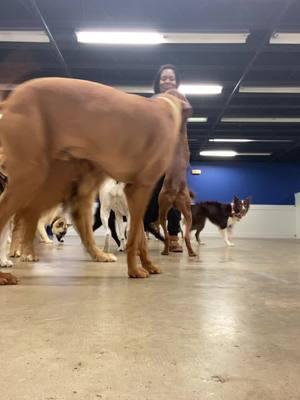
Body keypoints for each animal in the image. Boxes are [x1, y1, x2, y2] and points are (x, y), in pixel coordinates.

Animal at [0, 76, 191, 280]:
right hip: (32, 177)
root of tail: (12, 99)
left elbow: (140, 237)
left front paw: (148, 265)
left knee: (31, 216)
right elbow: (133, 239)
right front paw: (134, 270)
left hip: (51, 185)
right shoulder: (139, 190)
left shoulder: (134, 196)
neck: (167, 106)